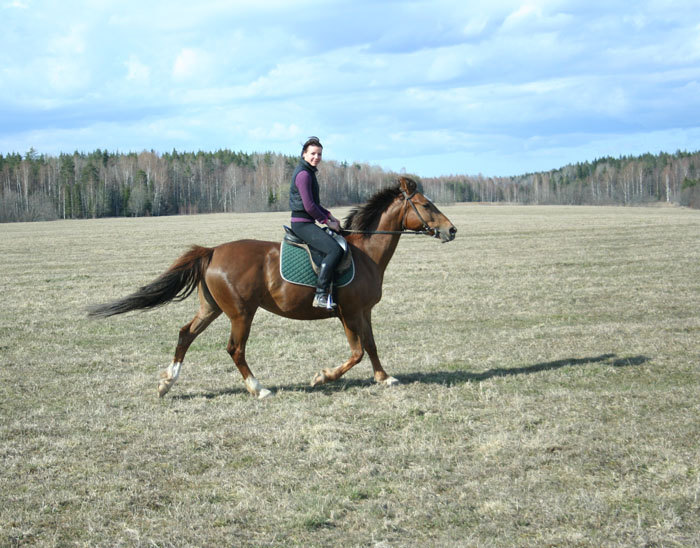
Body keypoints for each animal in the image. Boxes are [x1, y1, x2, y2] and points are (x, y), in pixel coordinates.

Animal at [87, 179, 456, 398]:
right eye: (426, 205)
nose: (452, 230)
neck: (365, 253)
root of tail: (212, 251)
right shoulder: (349, 313)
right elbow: (357, 352)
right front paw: (322, 377)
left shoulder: (362, 312)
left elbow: (372, 346)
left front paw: (384, 377)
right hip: (240, 312)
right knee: (234, 349)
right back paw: (258, 388)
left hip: (212, 307)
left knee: (185, 334)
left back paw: (167, 382)